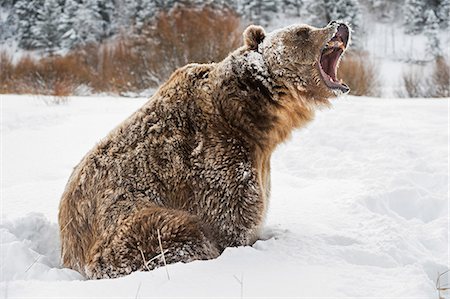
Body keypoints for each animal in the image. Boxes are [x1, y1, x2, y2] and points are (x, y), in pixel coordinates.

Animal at [58, 21, 350, 282]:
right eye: (303, 31)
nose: (340, 25)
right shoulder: (216, 157)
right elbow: (232, 218)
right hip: (123, 223)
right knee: (173, 232)